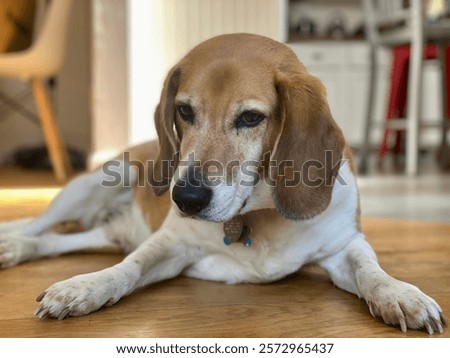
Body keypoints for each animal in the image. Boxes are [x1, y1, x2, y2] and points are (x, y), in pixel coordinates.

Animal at [0, 33, 446, 332]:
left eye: (250, 118)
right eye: (184, 111)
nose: (186, 197)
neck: (254, 214)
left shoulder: (344, 245)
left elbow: (371, 270)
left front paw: (400, 295)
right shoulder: (170, 244)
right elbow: (128, 268)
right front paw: (86, 287)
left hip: (107, 232)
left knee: (55, 241)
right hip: (92, 185)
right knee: (39, 228)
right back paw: (12, 243)